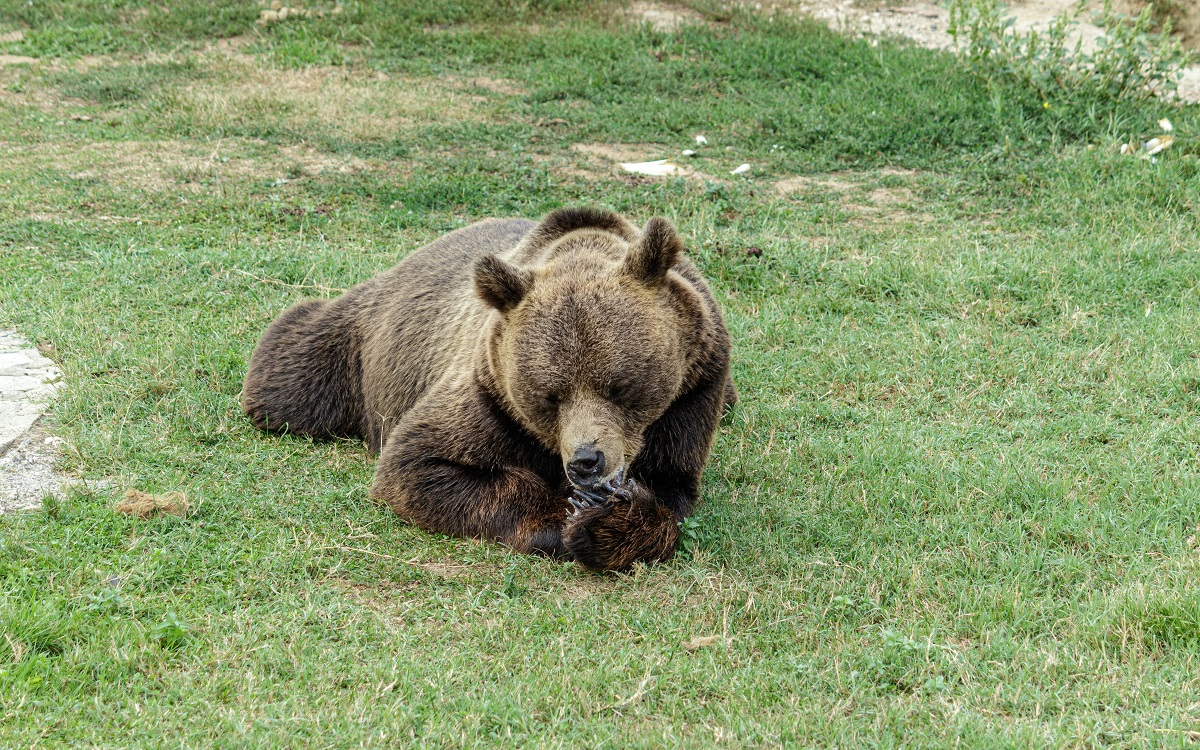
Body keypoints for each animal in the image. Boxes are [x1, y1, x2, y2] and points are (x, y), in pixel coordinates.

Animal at [241, 207, 729, 571]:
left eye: (620, 387)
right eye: (550, 395)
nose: (586, 461)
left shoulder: (692, 392)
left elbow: (669, 488)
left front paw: (608, 519)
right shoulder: (489, 394)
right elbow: (419, 465)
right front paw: (570, 516)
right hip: (358, 343)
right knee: (293, 377)